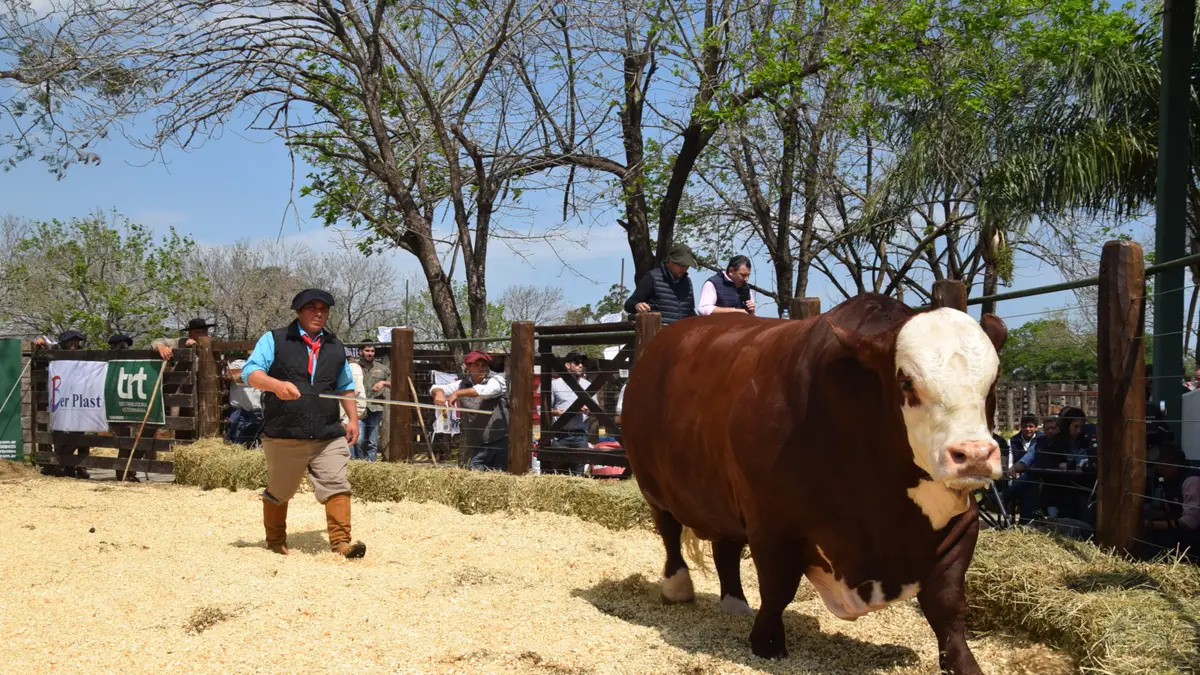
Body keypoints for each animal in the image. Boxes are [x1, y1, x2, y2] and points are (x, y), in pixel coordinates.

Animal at [620, 293, 1007, 675]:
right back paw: (678, 586)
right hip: (653, 484)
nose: (974, 454)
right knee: (669, 530)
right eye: (907, 382)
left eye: (993, 381)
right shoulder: (773, 524)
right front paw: (767, 641)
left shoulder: (960, 526)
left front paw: (962, 662)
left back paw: (734, 603)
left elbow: (947, 604)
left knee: (726, 547)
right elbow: (778, 587)